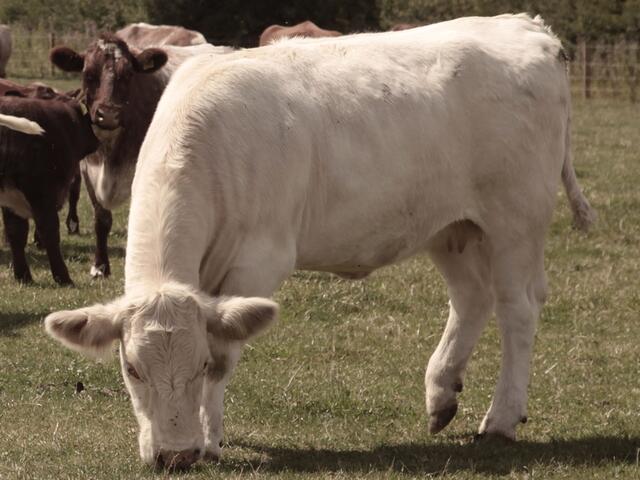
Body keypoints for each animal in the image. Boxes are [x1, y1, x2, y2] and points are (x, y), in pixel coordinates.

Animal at [0, 83, 99, 284]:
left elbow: (16, 234)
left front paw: (23, 276)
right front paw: (63, 277)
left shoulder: (11, 199)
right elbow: (50, 232)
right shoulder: (43, 194)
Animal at [50, 31, 231, 276]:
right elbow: (101, 219)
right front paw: (100, 266)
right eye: (88, 74)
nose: (108, 114)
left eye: (128, 75)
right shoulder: (88, 169)